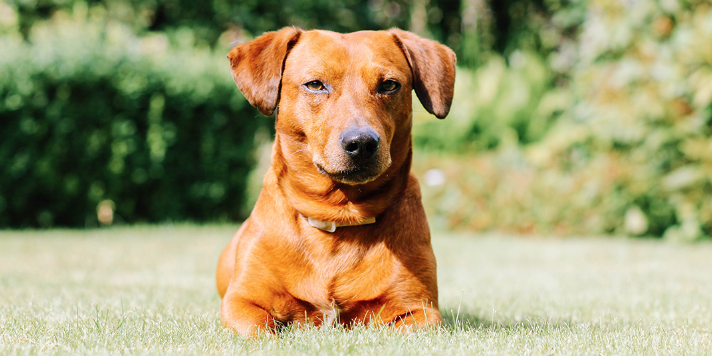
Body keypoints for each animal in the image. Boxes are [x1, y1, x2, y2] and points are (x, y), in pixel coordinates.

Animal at [214, 26, 456, 336]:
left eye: (389, 85)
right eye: (316, 85)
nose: (361, 142)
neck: (339, 216)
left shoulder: (420, 310)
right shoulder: (242, 301)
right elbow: (259, 328)